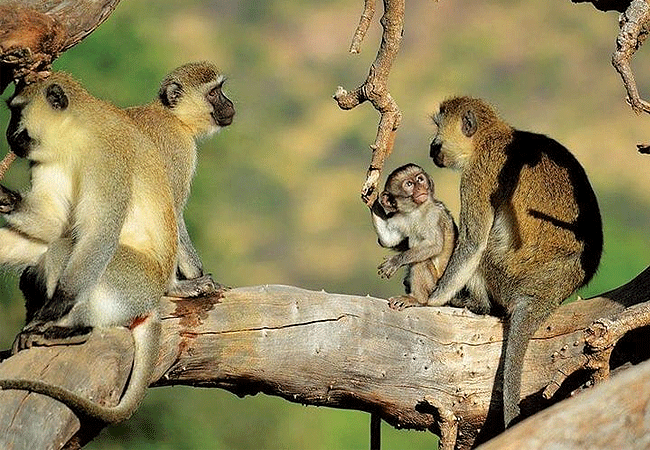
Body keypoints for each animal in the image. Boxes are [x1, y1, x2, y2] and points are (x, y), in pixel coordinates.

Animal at [0, 72, 177, 424]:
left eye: (16, 111)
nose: (9, 135)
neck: (76, 135)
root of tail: (153, 299)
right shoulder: (46, 160)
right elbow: (54, 220)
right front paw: (4, 198)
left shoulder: (108, 160)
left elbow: (97, 235)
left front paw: (51, 312)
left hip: (133, 281)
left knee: (63, 250)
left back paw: (73, 329)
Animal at [124, 60, 235, 298]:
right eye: (213, 93)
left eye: (220, 89)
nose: (230, 104)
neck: (173, 117)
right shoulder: (178, 148)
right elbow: (173, 209)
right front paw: (195, 274)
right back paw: (172, 287)